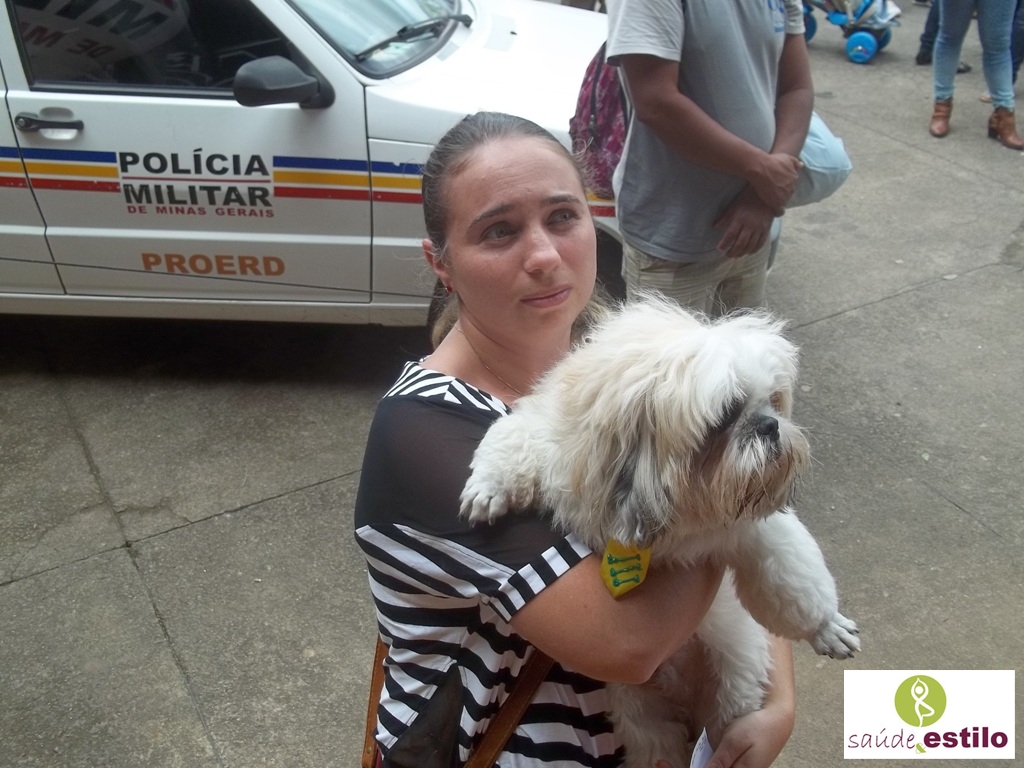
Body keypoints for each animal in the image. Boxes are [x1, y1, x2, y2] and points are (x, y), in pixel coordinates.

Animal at [460, 294, 860, 767]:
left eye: (773, 402)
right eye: (728, 413)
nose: (770, 425)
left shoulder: (746, 532)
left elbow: (796, 579)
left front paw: (826, 626)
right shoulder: (553, 440)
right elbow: (510, 438)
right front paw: (488, 488)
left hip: (733, 689)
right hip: (643, 717)